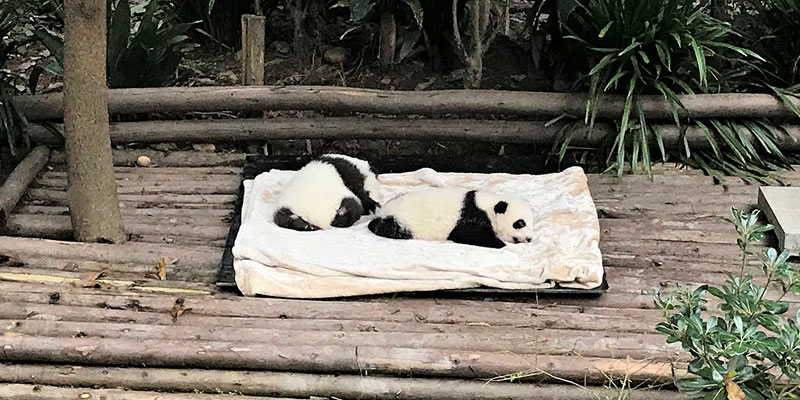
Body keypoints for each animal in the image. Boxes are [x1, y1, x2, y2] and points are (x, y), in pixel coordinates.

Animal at [367, 187, 535, 249]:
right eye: (520, 223)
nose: (529, 238)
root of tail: (381, 213)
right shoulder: (471, 215)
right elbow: (467, 234)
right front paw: (499, 243)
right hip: (401, 222)